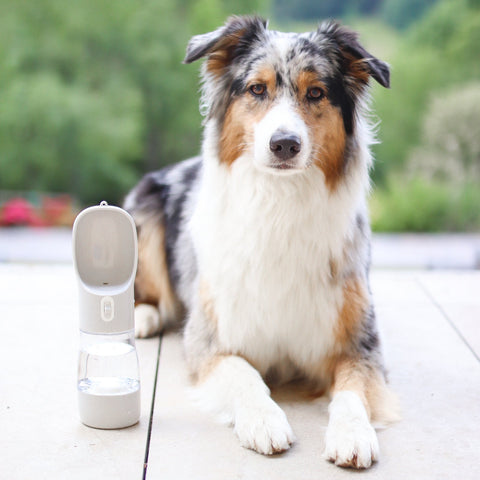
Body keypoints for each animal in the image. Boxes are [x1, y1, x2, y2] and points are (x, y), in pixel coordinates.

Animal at [124, 15, 398, 468]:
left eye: (316, 92)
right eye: (256, 89)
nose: (284, 144)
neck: (279, 202)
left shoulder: (360, 347)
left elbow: (352, 391)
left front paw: (352, 434)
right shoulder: (211, 341)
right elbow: (244, 374)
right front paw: (264, 420)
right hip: (143, 212)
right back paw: (144, 316)